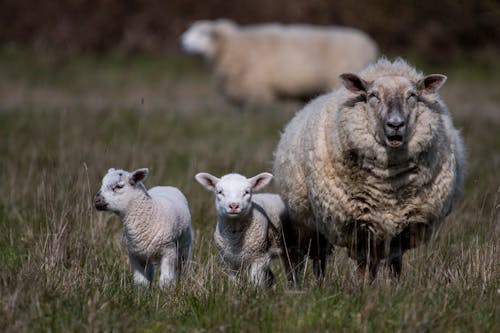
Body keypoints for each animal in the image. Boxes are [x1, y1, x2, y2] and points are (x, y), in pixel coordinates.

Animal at [274, 57, 464, 280]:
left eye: (412, 96)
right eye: (373, 95)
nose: (395, 124)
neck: (388, 187)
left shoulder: (403, 223)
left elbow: (394, 261)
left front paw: (393, 286)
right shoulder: (359, 221)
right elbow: (363, 262)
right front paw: (362, 286)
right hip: (307, 222)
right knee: (310, 257)